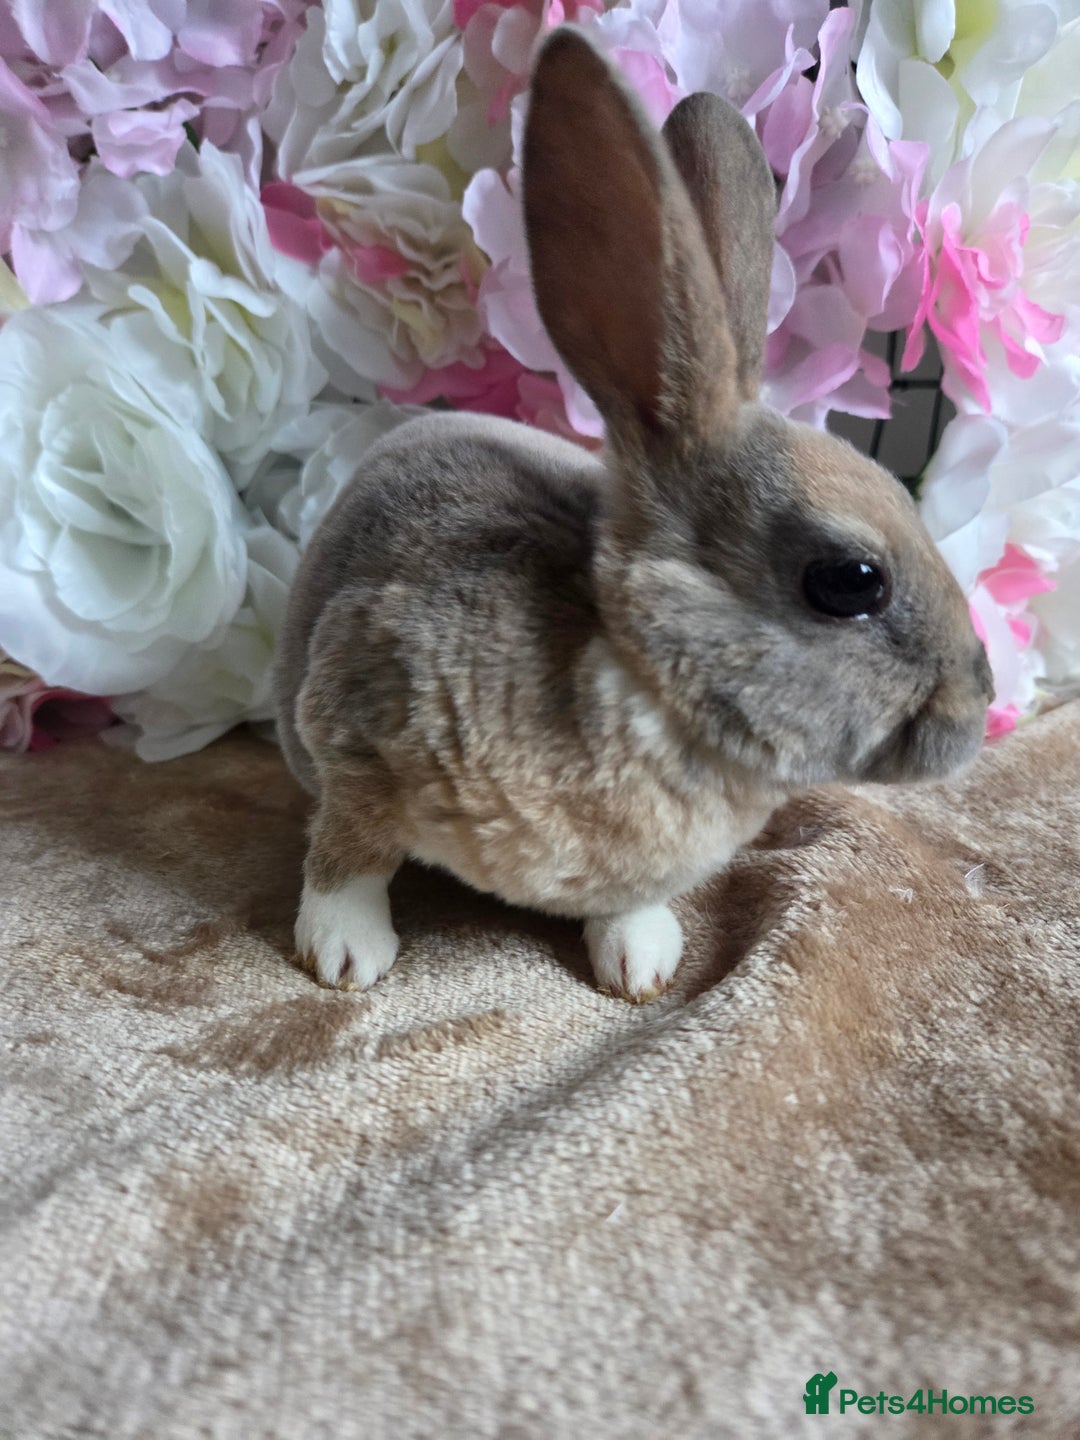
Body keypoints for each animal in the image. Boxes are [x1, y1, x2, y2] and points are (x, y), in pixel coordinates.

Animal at [275, 26, 992, 1003]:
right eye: (850, 582)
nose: (980, 704)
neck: (641, 675)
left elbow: (626, 907)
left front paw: (643, 964)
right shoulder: (354, 727)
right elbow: (348, 855)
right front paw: (345, 956)